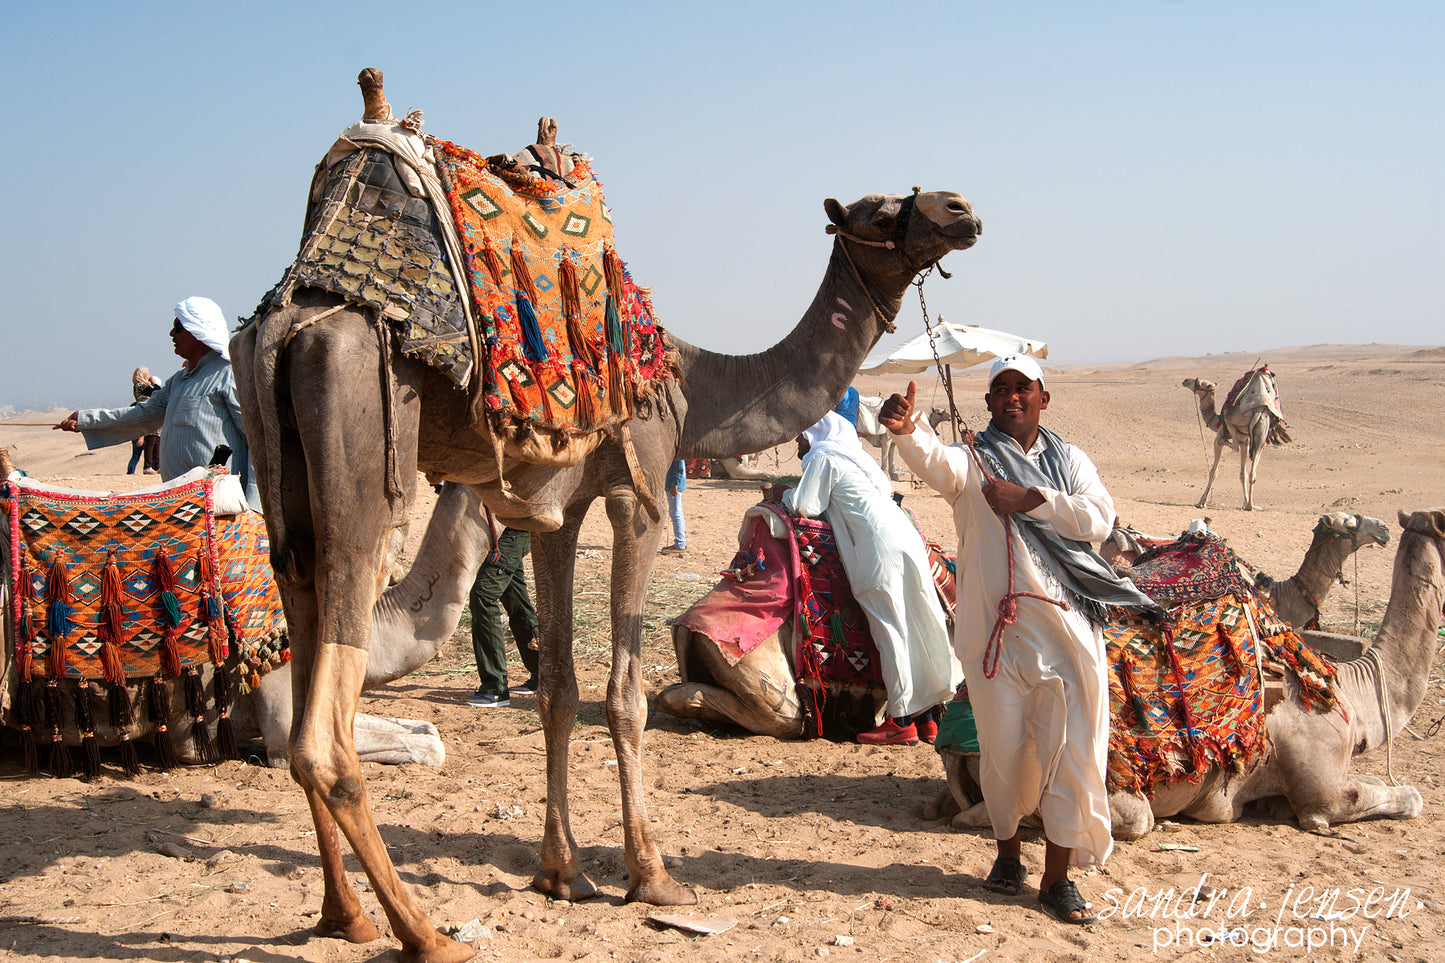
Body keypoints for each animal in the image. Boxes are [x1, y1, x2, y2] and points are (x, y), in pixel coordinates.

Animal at [229, 70, 982, 963]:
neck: (692, 378)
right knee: (324, 734)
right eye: (874, 209)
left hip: (283, 480)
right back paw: (425, 932)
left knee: (303, 651)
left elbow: (558, 689)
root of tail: (285, 327)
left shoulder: (554, 509)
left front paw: (562, 873)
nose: (959, 207)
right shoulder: (639, 492)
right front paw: (650, 874)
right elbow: (623, 695)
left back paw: (343, 912)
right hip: (358, 452)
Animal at [1183, 368, 1291, 511]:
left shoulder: (1221, 438)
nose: (1185, 380)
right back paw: (1250, 505)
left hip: (1233, 420)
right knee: (1253, 472)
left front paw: (1201, 501)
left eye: (1200, 383)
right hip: (1261, 432)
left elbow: (1214, 472)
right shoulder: (1245, 442)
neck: (1216, 420)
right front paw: (1245, 502)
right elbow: (1242, 474)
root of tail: (1257, 411)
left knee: (1233, 445)